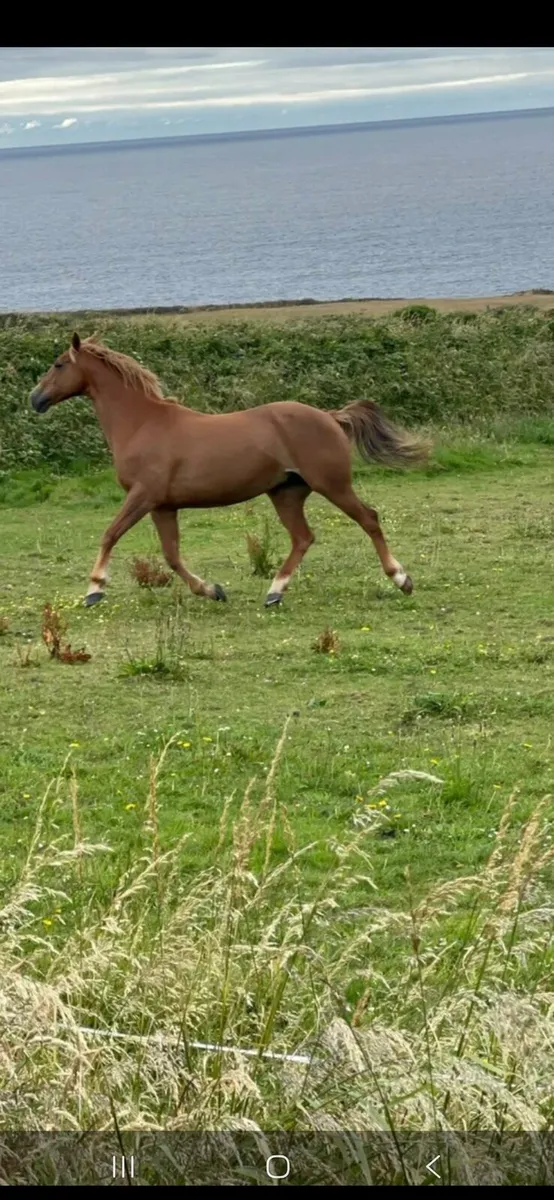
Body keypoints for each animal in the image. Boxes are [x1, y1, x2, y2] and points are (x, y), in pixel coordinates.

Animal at [30, 333, 429, 608]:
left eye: (59, 364)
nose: (35, 399)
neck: (142, 423)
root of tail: (330, 416)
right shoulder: (163, 506)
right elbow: (171, 555)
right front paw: (212, 590)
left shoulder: (142, 496)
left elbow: (110, 534)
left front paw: (94, 590)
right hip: (286, 492)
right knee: (303, 538)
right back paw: (274, 593)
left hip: (332, 484)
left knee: (369, 519)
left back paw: (401, 579)